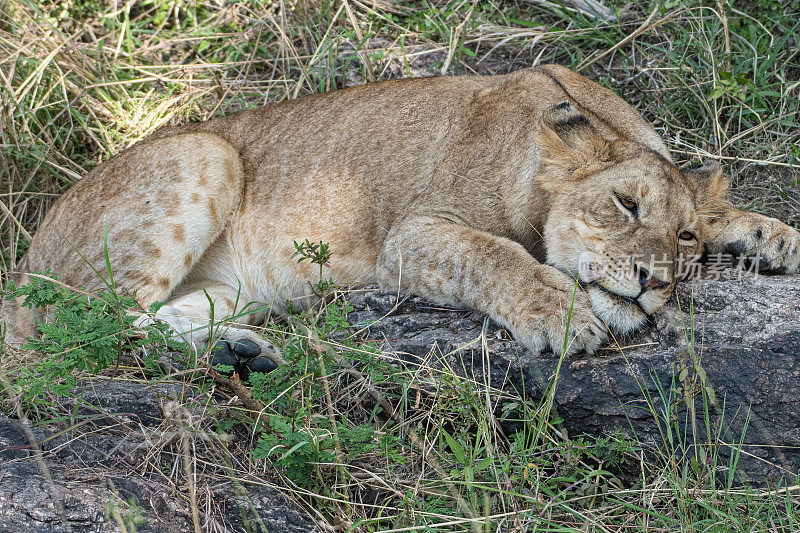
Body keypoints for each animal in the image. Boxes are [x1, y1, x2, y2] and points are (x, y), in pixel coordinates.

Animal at [1, 63, 800, 370]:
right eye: (624, 204)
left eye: (683, 236)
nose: (653, 280)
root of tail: (21, 264)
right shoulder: (410, 237)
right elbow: (498, 255)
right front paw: (563, 313)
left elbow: (729, 211)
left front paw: (772, 237)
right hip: (205, 151)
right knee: (79, 339)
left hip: (232, 284)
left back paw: (242, 351)